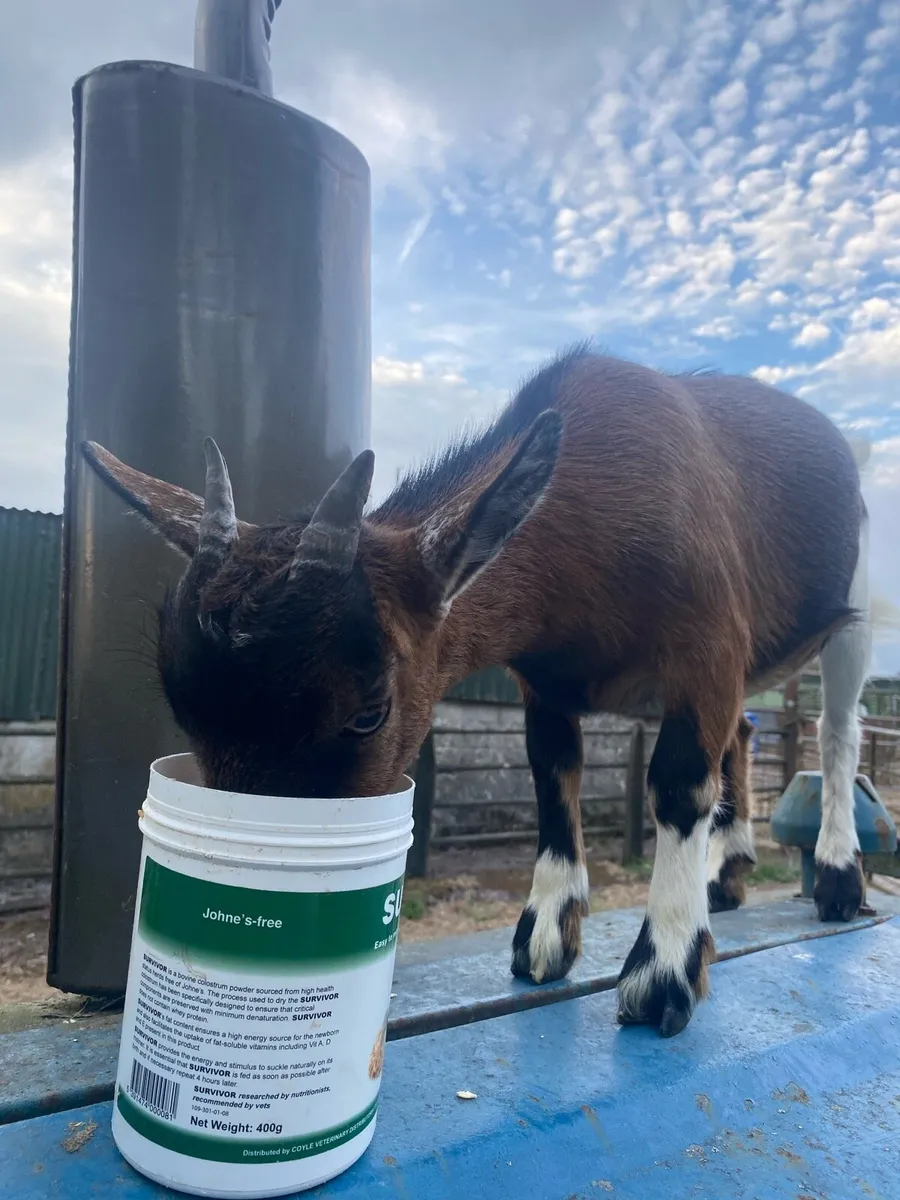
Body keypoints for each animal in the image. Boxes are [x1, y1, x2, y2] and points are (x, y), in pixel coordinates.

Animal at [82, 346, 870, 1038]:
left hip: (852, 611)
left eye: (369, 713)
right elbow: (552, 772)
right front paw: (546, 937)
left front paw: (663, 974)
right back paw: (728, 875)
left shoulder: (707, 642)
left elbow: (677, 785)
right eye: (186, 714)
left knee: (836, 729)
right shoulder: (543, 679)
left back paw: (836, 877)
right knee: (744, 730)